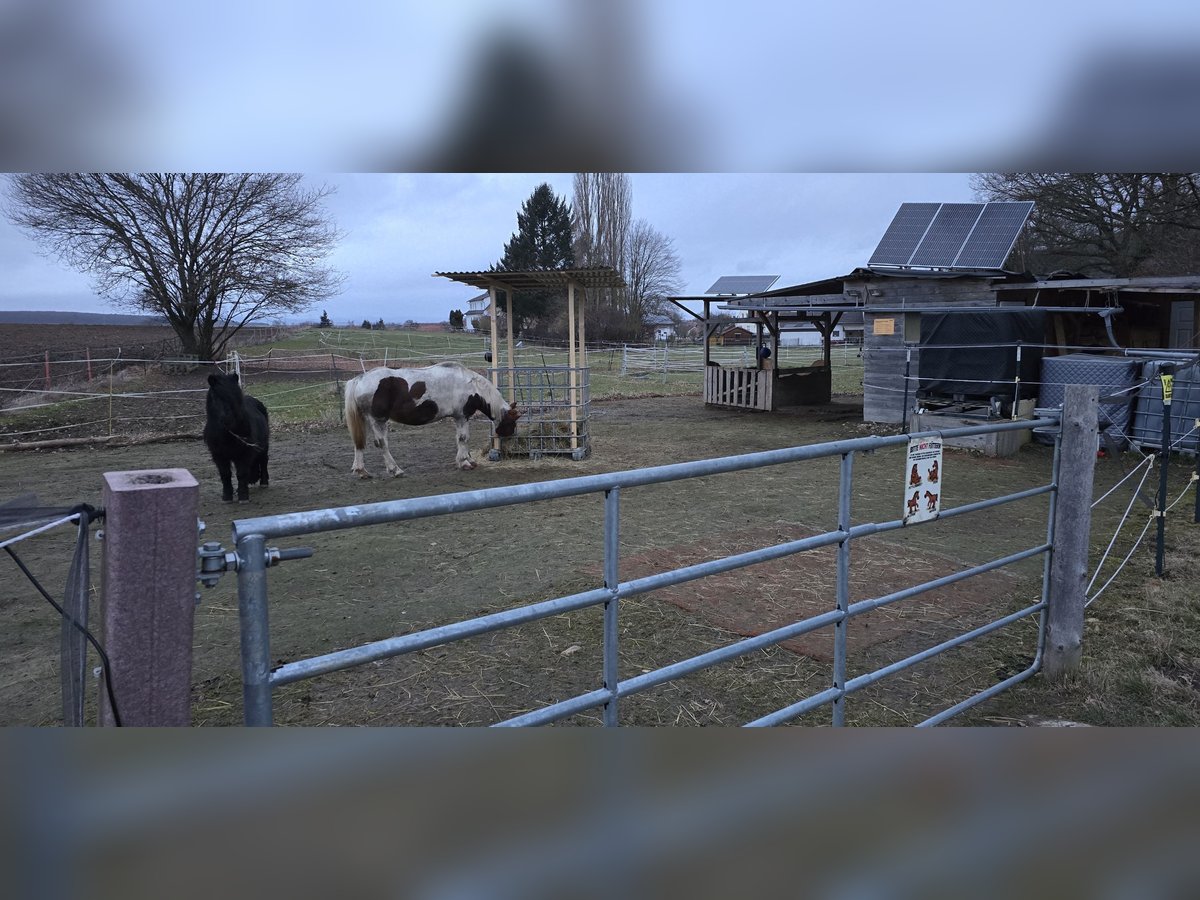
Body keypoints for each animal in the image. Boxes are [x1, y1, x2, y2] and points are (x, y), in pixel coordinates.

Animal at [203, 372, 270, 502]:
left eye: (235, 396)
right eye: (216, 397)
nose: (227, 419)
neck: (227, 434)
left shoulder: (244, 453)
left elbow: (241, 474)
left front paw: (243, 497)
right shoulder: (218, 455)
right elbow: (225, 474)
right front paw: (227, 496)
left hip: (264, 446)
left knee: (264, 460)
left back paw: (263, 482)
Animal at [343, 362, 521, 477]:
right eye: (512, 421)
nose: (510, 437)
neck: (471, 386)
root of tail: (359, 379)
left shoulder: (460, 418)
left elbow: (462, 439)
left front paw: (468, 460)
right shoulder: (462, 416)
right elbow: (463, 438)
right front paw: (464, 463)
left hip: (366, 420)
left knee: (359, 443)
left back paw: (361, 471)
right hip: (378, 420)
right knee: (382, 444)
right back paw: (395, 470)